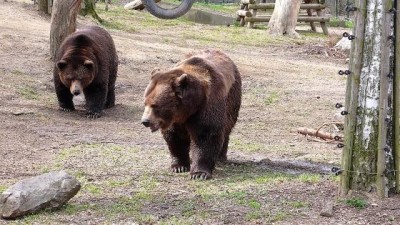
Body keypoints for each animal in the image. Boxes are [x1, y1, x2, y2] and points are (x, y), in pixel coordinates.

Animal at [141, 49, 241, 179]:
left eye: (155, 105)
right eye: (145, 103)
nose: (145, 121)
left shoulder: (208, 105)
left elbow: (205, 135)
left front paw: (199, 173)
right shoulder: (175, 120)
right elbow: (175, 137)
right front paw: (179, 166)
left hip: (232, 100)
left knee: (226, 129)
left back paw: (221, 157)